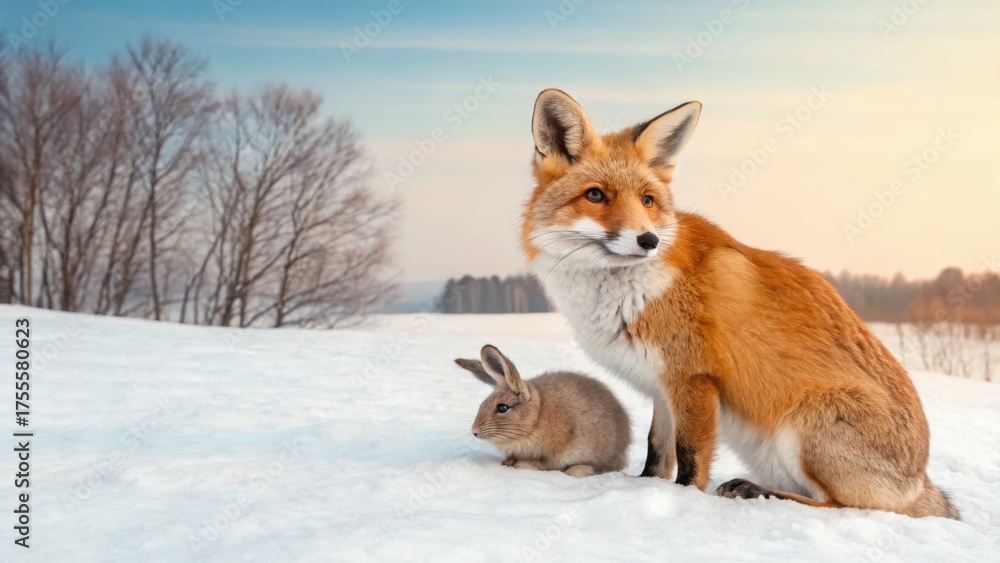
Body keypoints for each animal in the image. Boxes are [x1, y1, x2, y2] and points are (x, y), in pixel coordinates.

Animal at [454, 344, 631, 477]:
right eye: (483, 404)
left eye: (502, 408)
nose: (474, 431)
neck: (536, 417)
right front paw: (509, 462)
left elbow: (541, 464)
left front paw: (523, 464)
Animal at [520, 88, 959, 519]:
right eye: (595, 195)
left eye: (647, 200)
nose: (649, 240)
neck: (628, 291)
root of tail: (921, 481)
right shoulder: (662, 385)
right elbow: (657, 451)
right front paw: (646, 487)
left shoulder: (693, 377)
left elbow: (690, 457)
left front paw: (684, 500)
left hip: (808, 427)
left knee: (842, 506)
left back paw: (756, 491)